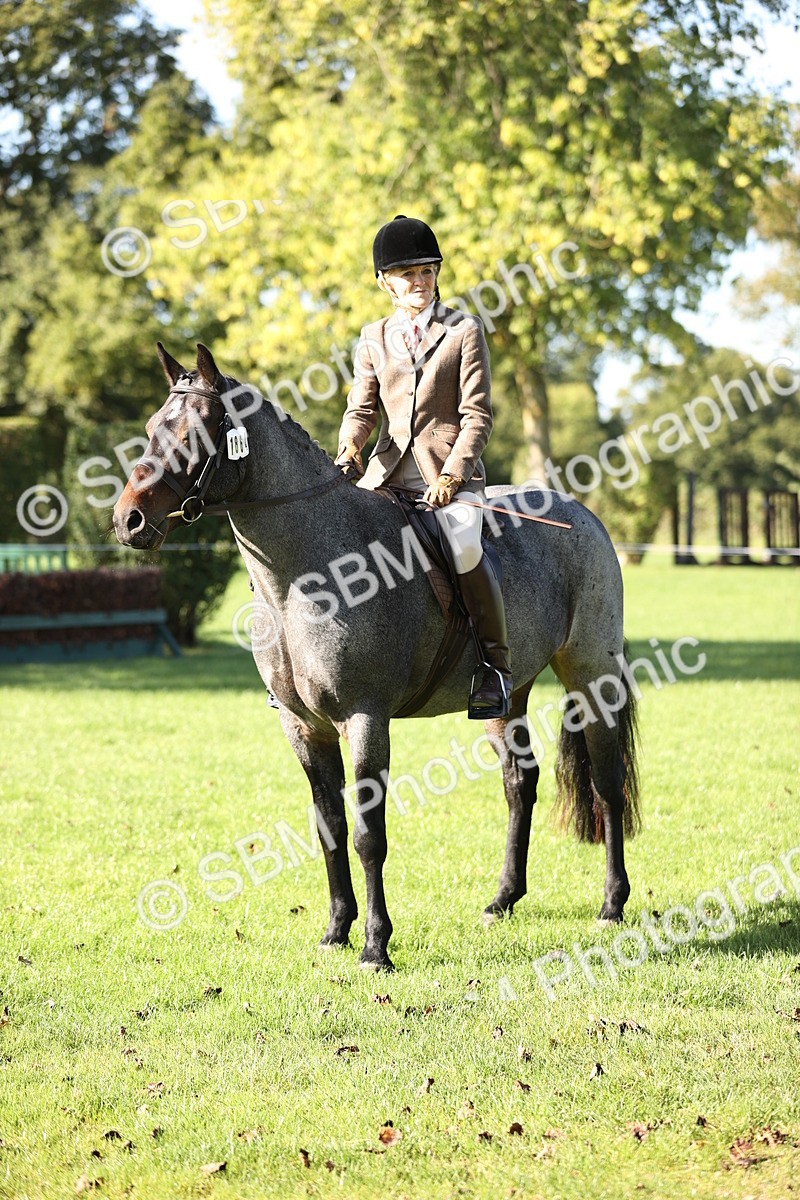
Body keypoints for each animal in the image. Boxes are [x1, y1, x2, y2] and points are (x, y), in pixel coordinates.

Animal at [113, 342, 640, 971]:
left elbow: (369, 835)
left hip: (591, 677)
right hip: (505, 696)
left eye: (193, 433)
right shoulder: (304, 728)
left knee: (606, 785)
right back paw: (503, 899)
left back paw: (612, 904)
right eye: (151, 429)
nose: (128, 521)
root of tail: (579, 513)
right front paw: (335, 931)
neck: (304, 576)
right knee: (520, 781)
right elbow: (330, 828)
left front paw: (375, 946)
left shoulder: (365, 720)